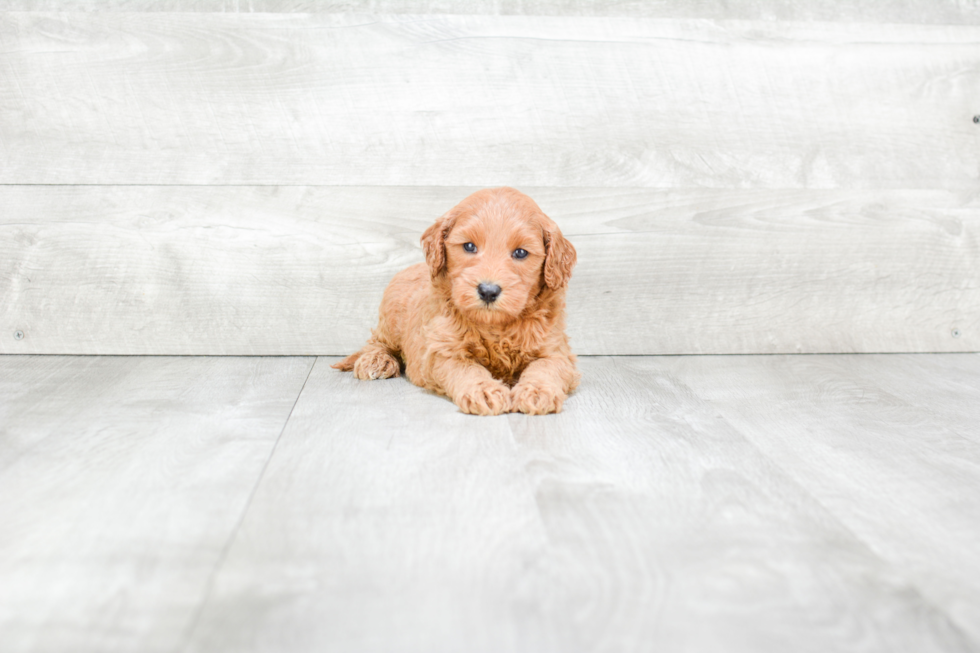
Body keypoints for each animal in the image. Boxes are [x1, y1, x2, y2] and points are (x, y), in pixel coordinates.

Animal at [334, 186, 580, 416]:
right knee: (377, 341)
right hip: (390, 318)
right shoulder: (442, 350)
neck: (495, 326)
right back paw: (376, 361)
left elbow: (546, 366)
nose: (488, 291)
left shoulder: (556, 349)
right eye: (469, 246)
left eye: (520, 253)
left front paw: (537, 391)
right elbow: (465, 368)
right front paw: (484, 390)